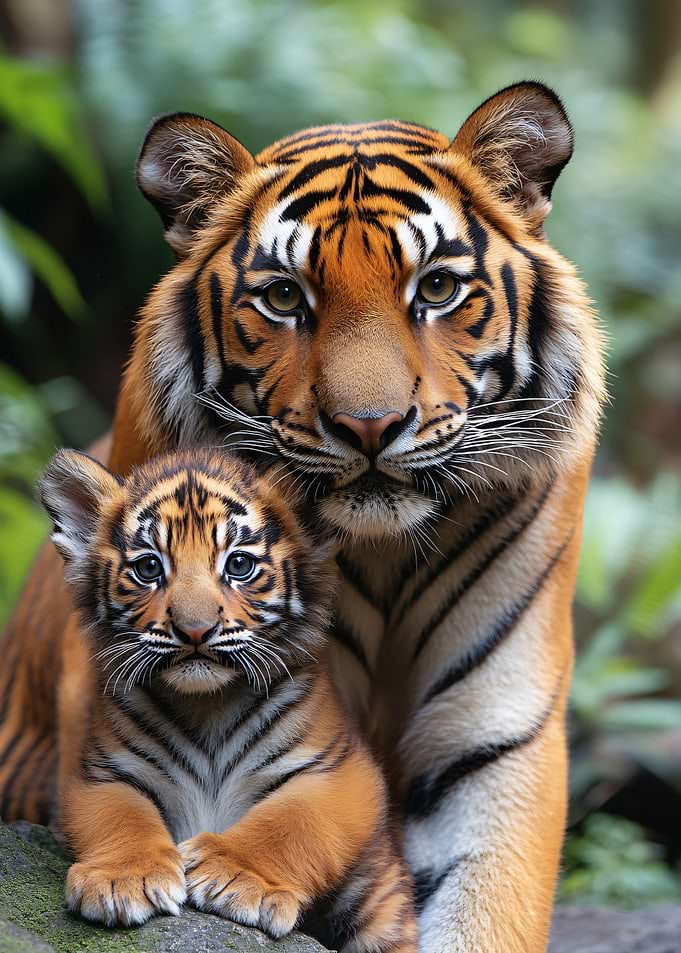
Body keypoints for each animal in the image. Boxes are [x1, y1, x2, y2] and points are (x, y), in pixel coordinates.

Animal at [39, 446, 417, 950]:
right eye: (149, 568)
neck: (208, 706)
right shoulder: (104, 773)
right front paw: (123, 879)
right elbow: (122, 815)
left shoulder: (340, 770)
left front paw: (235, 877)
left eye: (238, 565)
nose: (195, 630)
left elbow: (293, 820)